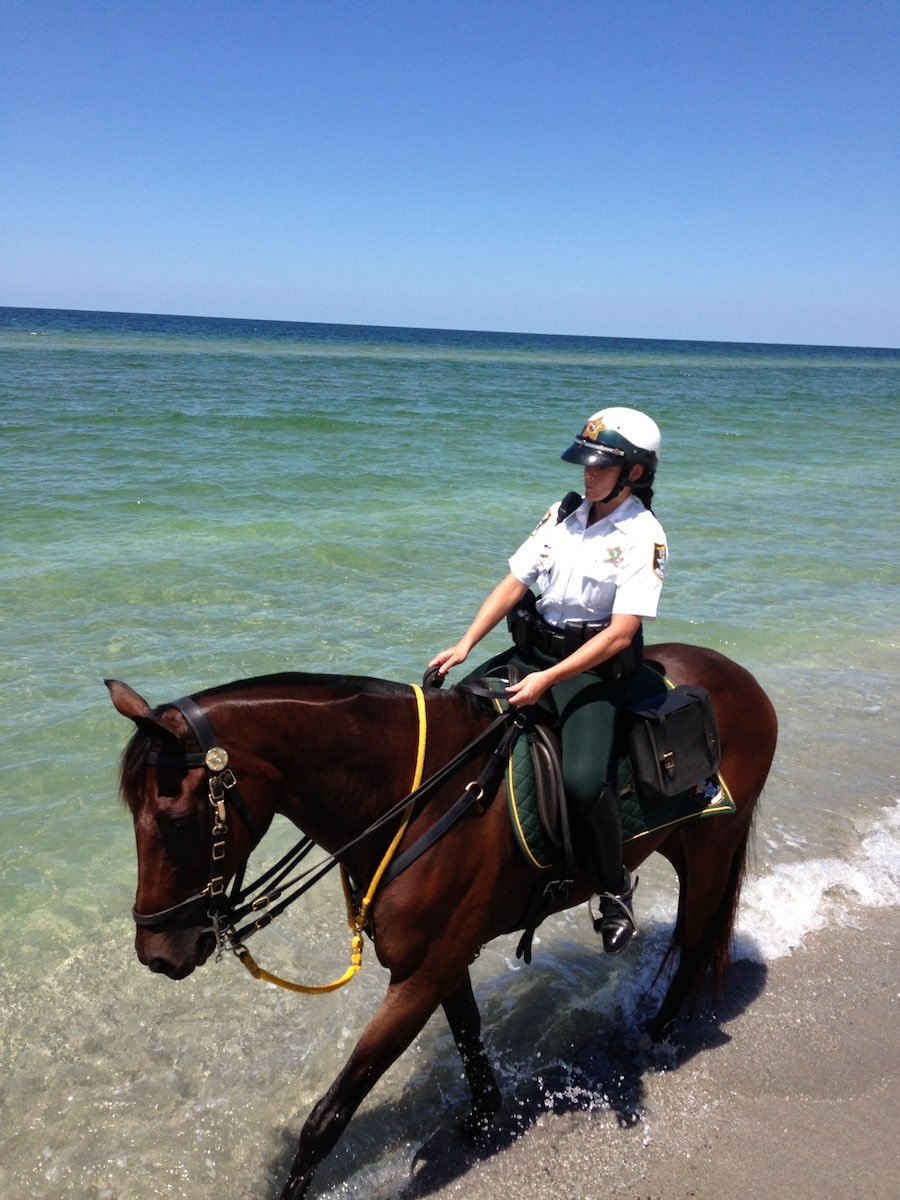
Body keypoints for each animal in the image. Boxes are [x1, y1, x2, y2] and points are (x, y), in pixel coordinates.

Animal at [108, 642, 777, 1199]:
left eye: (174, 821)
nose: (156, 951)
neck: (418, 796)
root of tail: (739, 676)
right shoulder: (443, 958)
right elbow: (468, 1032)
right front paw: (483, 1114)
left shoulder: (419, 975)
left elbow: (329, 1117)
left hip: (711, 849)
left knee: (696, 943)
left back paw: (656, 1034)